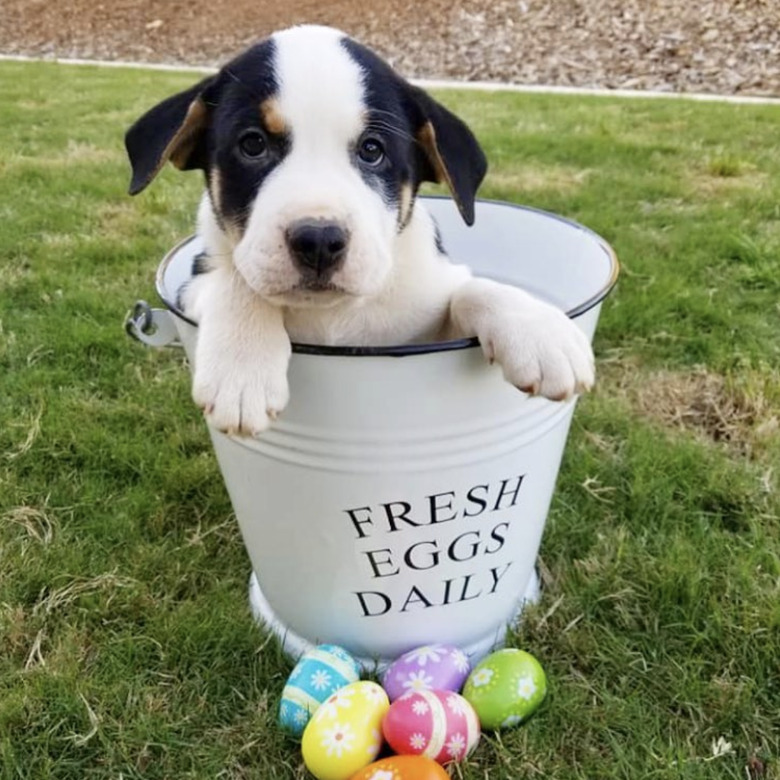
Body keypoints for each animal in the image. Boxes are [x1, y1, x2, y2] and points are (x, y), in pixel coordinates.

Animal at [125, 24, 596, 436]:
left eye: (372, 150)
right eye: (253, 144)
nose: (318, 241)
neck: (332, 315)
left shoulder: (424, 327)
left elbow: (470, 288)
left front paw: (540, 331)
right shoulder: (194, 279)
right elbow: (236, 281)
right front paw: (242, 369)